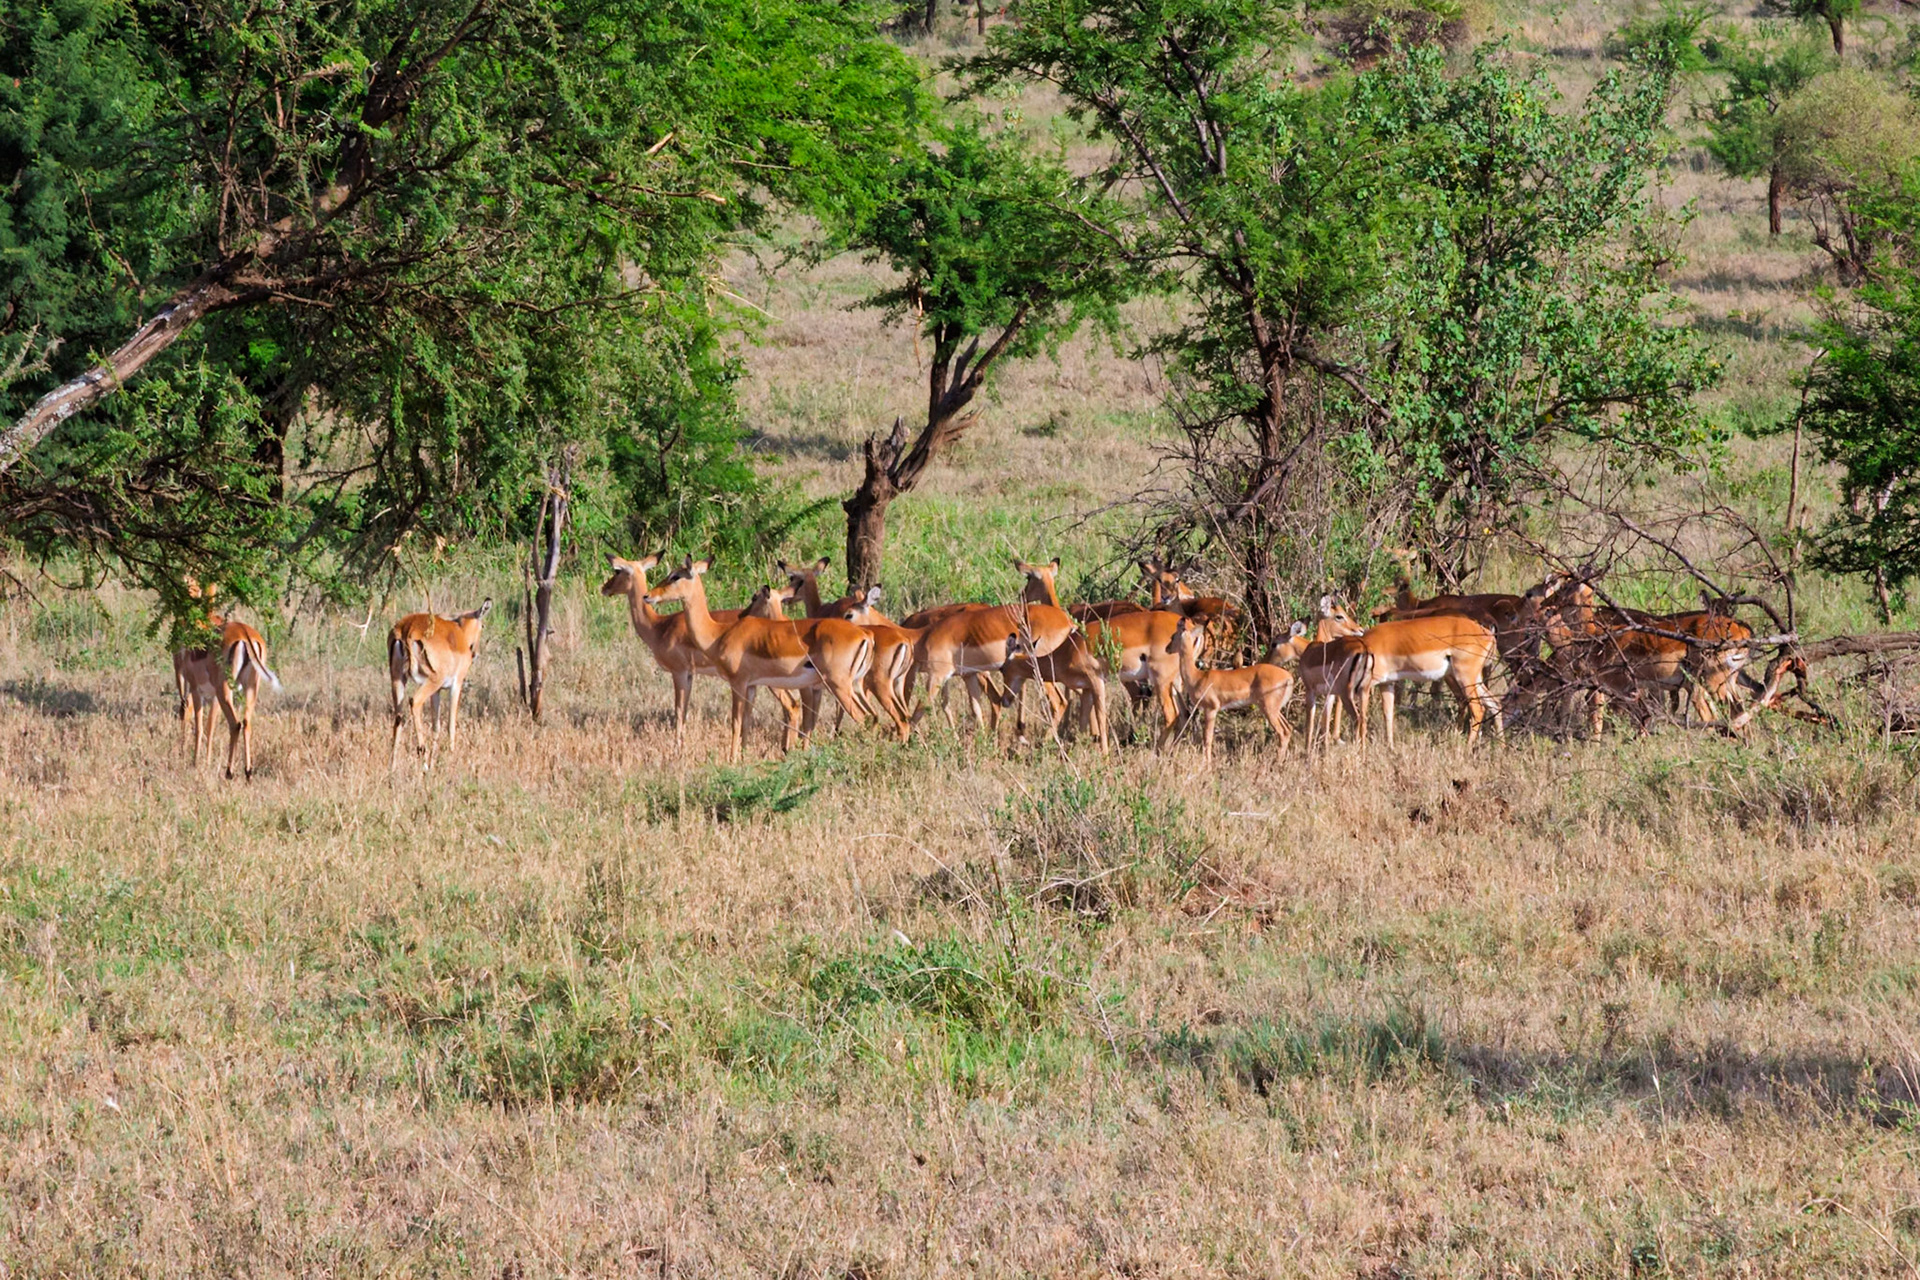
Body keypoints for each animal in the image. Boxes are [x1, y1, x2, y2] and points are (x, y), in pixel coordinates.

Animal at [388, 599, 491, 771]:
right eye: (483, 625)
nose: (475, 653)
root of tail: (407, 629)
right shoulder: (456, 685)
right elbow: (451, 724)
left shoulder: (437, 692)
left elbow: (436, 726)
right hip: (431, 681)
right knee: (414, 702)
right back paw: (422, 760)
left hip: (398, 679)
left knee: (398, 717)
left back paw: (393, 767)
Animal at [647, 559, 879, 762]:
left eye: (675, 576)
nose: (648, 596)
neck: (718, 634)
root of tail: (865, 635)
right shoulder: (752, 686)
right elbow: (746, 723)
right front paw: (743, 758)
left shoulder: (738, 683)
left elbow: (735, 722)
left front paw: (731, 760)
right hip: (854, 686)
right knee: (873, 717)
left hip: (838, 686)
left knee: (862, 718)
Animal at [1162, 616, 1309, 759]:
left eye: (1173, 636)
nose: (1167, 648)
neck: (1197, 676)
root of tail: (1289, 677)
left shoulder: (1211, 709)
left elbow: (1207, 739)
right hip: (1275, 710)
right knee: (1288, 729)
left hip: (1269, 709)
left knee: (1282, 732)